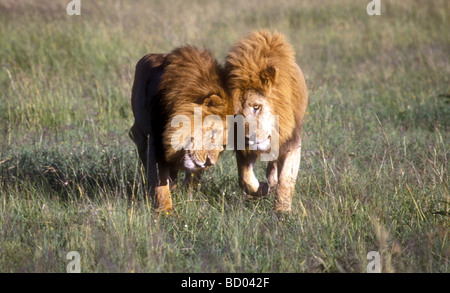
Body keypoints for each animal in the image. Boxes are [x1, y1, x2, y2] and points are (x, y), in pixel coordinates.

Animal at [129, 45, 229, 211]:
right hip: (141, 126)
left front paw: (190, 196)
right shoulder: (157, 140)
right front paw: (165, 211)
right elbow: (159, 183)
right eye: (212, 133)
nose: (210, 163)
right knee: (136, 137)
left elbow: (194, 175)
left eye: (224, 145)